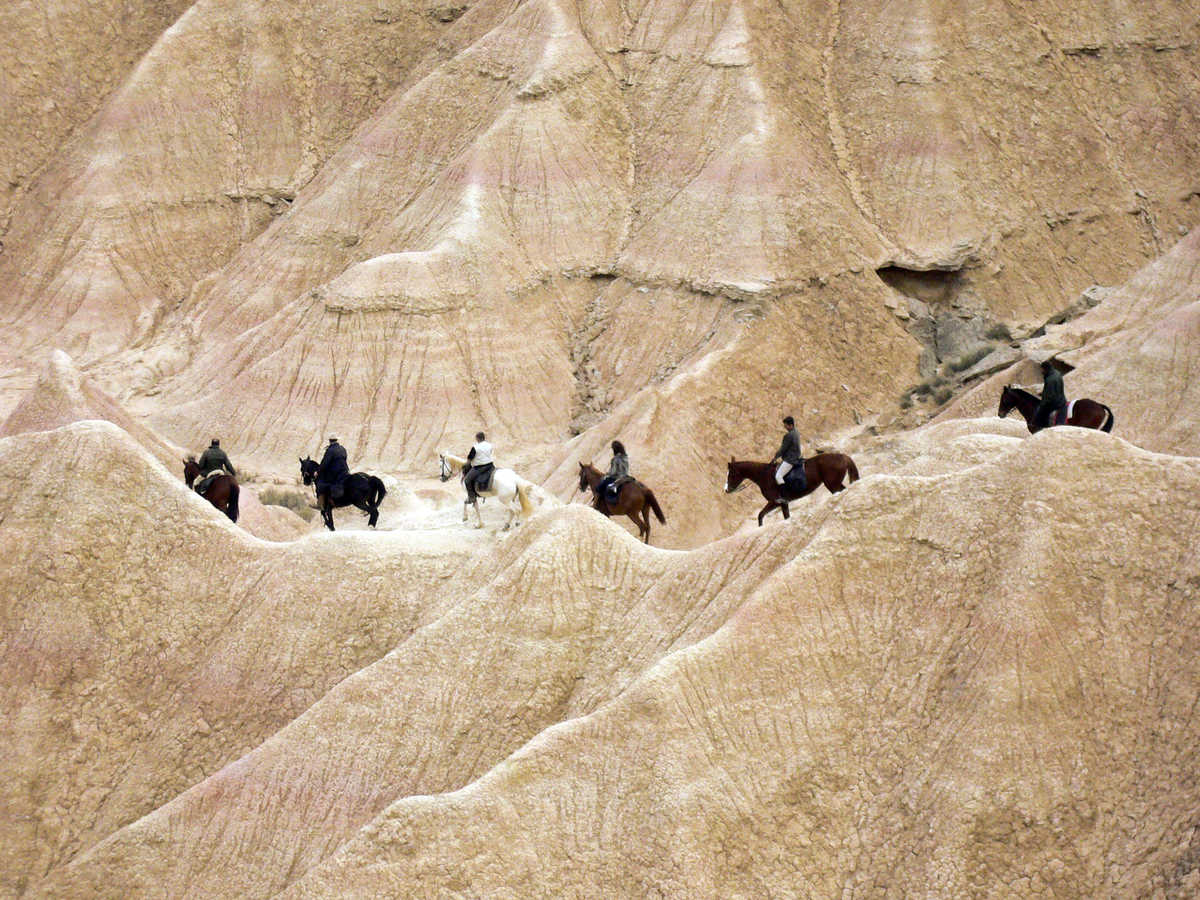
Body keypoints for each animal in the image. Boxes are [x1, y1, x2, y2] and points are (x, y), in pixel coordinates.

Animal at [724, 453, 859, 525]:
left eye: (731, 474)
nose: (726, 490)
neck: (764, 475)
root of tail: (842, 456)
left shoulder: (775, 502)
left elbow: (760, 515)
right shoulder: (783, 503)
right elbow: (784, 516)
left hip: (832, 485)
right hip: (834, 484)